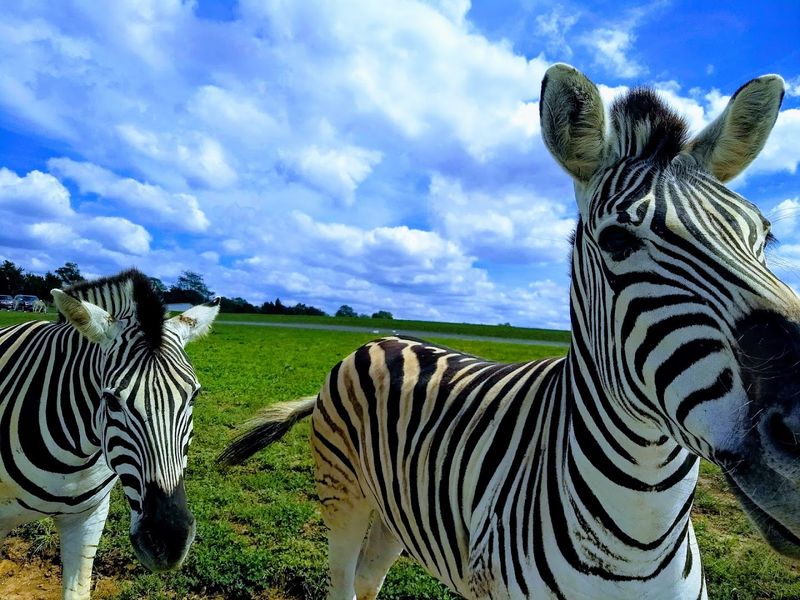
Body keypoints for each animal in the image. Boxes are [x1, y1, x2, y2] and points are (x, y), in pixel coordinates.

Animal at [219, 64, 794, 600]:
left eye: (764, 237)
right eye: (616, 241)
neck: (642, 536)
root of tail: (381, 340)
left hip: (396, 511)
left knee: (368, 578)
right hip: (344, 495)